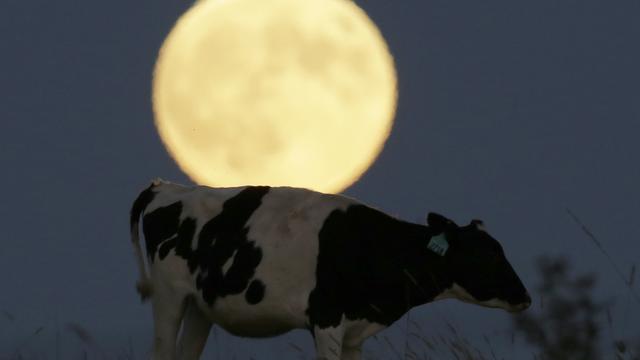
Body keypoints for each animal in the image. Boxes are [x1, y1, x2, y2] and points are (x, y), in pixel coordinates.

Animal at [129, 180, 528, 360]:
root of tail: (169, 187)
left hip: (201, 306)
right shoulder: (326, 319)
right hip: (168, 297)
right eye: (485, 255)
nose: (525, 297)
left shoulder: (355, 332)